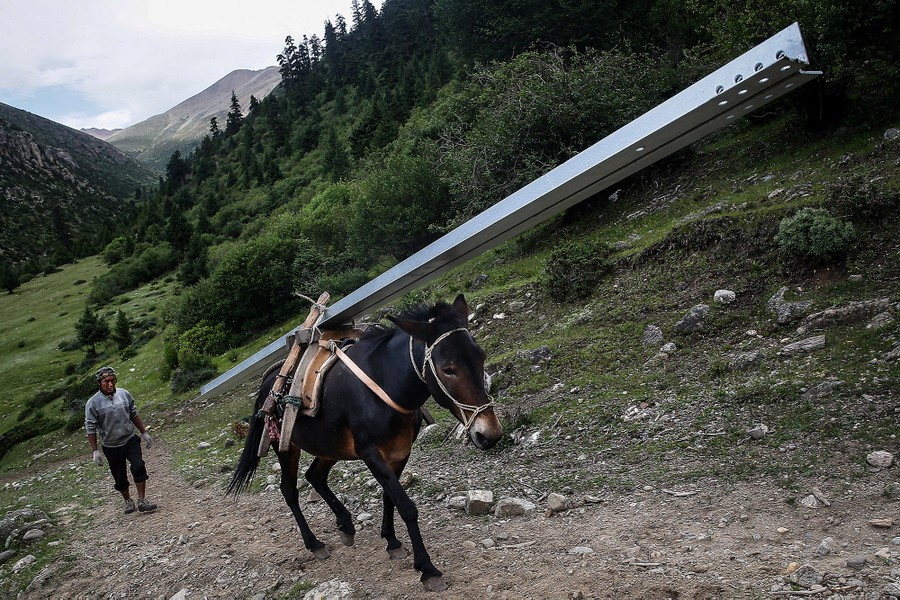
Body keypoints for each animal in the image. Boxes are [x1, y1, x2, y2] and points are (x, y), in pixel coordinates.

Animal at [227, 294, 503, 591]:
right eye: (448, 369)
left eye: (481, 357)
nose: (490, 434)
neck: (387, 385)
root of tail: (270, 379)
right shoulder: (371, 454)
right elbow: (406, 506)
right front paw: (427, 568)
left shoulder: (400, 452)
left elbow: (389, 497)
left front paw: (392, 542)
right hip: (288, 446)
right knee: (289, 491)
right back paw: (315, 544)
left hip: (331, 446)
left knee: (315, 476)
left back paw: (346, 525)